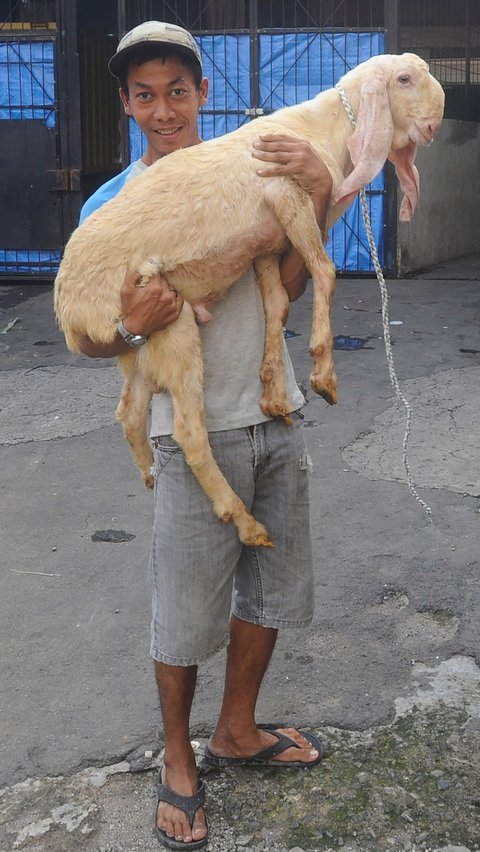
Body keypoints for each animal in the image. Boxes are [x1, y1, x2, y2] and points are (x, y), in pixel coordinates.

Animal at [54, 51, 444, 544]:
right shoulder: (287, 194)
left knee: (128, 410)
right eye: (404, 79)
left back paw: (149, 474)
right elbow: (325, 270)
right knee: (188, 431)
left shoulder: (267, 245)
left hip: (140, 343)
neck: (325, 130)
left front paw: (273, 395)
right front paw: (323, 374)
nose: (433, 124)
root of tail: (68, 312)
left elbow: (276, 304)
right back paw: (244, 520)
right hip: (169, 321)